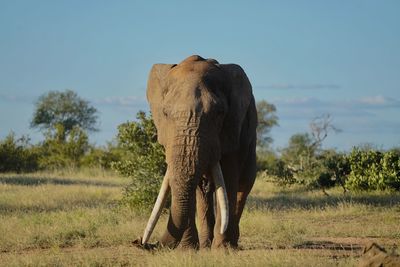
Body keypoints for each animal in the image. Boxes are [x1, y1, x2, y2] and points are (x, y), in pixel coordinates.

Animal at [141, 55, 258, 250]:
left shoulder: (233, 128)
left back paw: (231, 244)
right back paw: (205, 244)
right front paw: (187, 250)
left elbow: (229, 177)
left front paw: (222, 251)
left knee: (243, 186)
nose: (140, 242)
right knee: (203, 190)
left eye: (219, 113)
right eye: (165, 113)